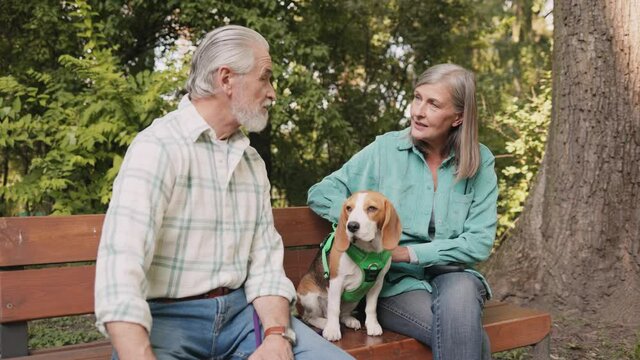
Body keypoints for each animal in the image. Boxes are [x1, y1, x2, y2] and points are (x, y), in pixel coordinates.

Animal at [296, 191, 400, 340]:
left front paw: (373, 325)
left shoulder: (377, 283)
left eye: (372, 208)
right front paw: (332, 330)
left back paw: (350, 320)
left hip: (354, 298)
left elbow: (371, 308)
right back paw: (325, 323)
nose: (351, 226)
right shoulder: (336, 282)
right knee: (310, 317)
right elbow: (334, 308)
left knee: (342, 314)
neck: (368, 250)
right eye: (349, 208)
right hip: (309, 296)